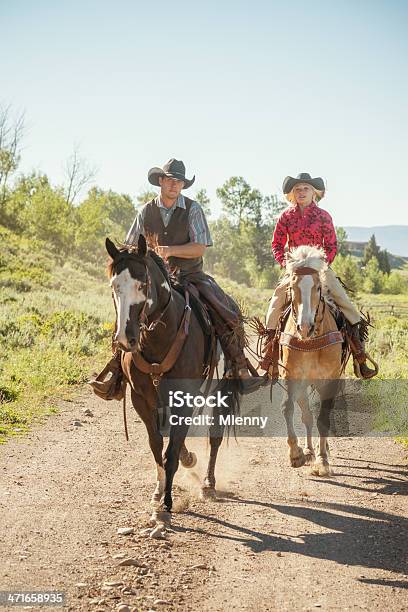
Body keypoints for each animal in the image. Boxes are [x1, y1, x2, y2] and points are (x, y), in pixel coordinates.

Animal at [105, 234, 241, 520]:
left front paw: (167, 502)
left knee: (214, 435)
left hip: (221, 390)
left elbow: (172, 450)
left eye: (143, 284)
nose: (125, 339)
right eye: (114, 285)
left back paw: (208, 484)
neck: (158, 339)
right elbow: (157, 444)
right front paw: (158, 492)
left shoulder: (185, 399)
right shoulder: (141, 399)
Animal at [278, 246, 346, 476]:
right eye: (292, 287)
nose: (305, 327)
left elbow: (323, 419)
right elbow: (288, 409)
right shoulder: (291, 376)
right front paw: (295, 453)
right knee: (306, 414)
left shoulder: (330, 380)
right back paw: (308, 449)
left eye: (317, 287)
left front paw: (322, 460)